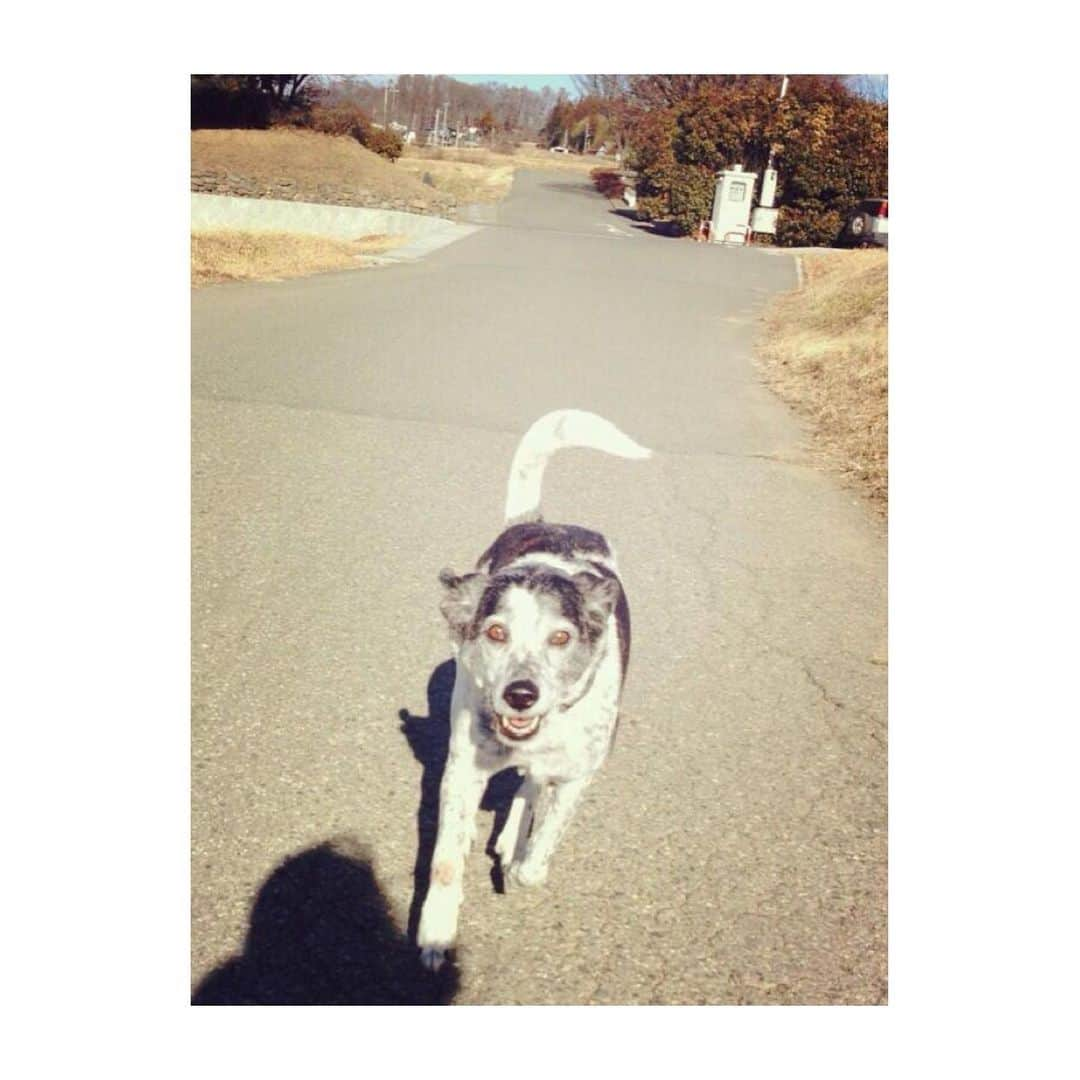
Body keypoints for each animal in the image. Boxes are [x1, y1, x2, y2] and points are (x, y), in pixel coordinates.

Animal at [414, 406, 648, 972]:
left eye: (560, 637)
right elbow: (446, 859)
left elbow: (545, 840)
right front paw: (436, 932)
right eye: (496, 632)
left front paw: (524, 864)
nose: (521, 695)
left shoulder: (579, 773)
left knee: (531, 785)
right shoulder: (463, 770)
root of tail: (540, 521)